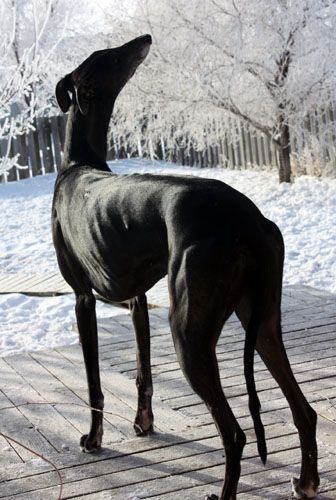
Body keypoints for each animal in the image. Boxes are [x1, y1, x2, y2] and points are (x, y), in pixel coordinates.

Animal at [51, 33, 318, 498]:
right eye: (110, 56)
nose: (143, 39)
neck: (77, 164)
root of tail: (249, 220)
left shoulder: (82, 298)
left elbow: (94, 383)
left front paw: (94, 438)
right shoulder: (136, 300)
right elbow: (142, 371)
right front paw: (143, 424)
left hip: (188, 334)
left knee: (235, 433)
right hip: (263, 321)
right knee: (303, 409)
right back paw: (306, 482)